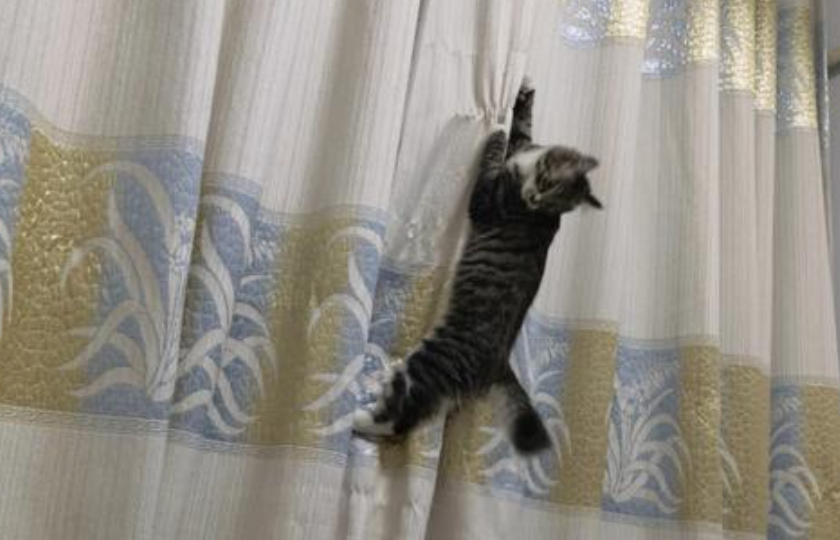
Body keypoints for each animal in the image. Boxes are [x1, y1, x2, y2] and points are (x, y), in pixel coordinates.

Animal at [352, 80, 602, 454]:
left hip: (432, 360)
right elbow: (523, 128)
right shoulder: (523, 148)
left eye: (550, 199)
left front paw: (495, 128)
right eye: (547, 186)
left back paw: (357, 419)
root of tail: (499, 364)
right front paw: (522, 96)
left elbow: (493, 157)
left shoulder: (487, 200)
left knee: (402, 417)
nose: (532, 200)